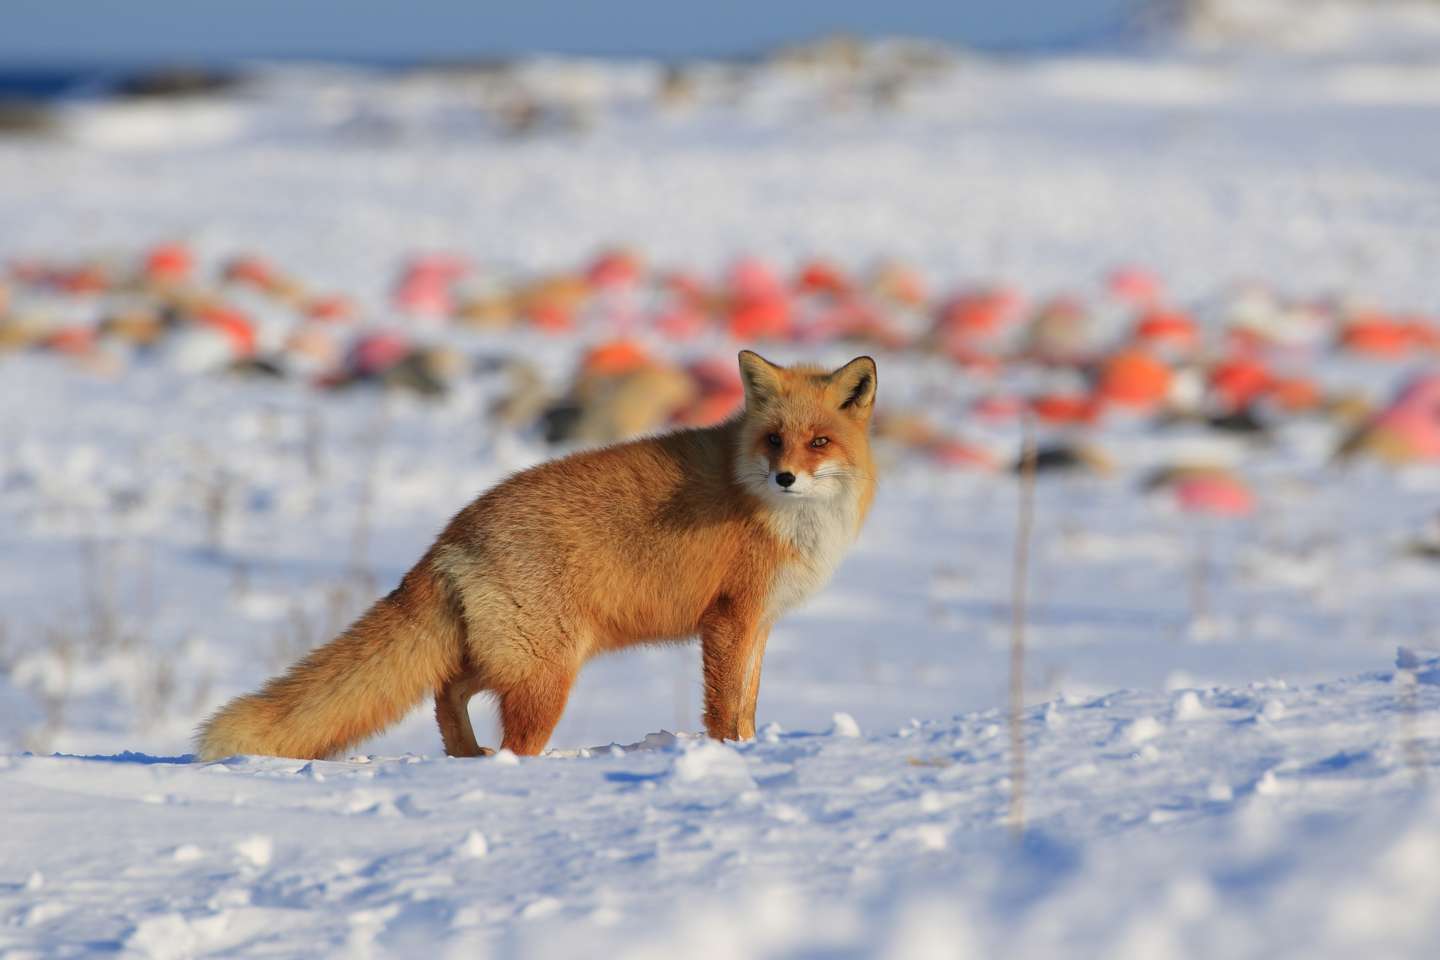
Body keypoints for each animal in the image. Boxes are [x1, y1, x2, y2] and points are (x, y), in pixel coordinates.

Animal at [197, 349, 875, 759]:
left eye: (818, 442)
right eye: (773, 439)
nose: (785, 477)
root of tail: (453, 532)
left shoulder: (759, 622)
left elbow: (748, 707)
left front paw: (752, 750)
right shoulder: (730, 620)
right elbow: (724, 709)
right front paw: (727, 757)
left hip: (505, 656)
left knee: (445, 691)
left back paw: (464, 756)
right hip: (546, 675)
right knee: (508, 740)